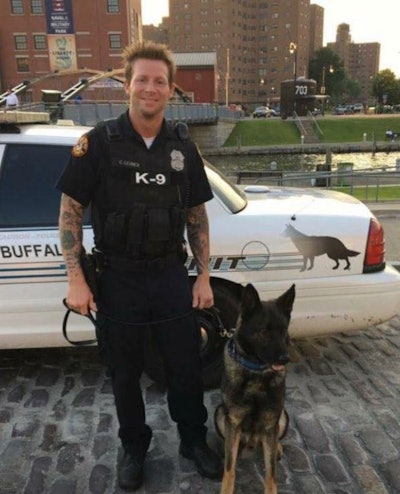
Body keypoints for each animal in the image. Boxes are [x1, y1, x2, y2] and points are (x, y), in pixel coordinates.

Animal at [214, 282, 296, 494]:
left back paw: (278, 447)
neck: (256, 373)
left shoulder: (270, 422)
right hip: (220, 415)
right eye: (264, 332)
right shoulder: (233, 421)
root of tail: (253, 440)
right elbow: (229, 469)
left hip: (281, 418)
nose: (285, 359)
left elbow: (271, 472)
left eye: (283, 330)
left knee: (274, 441)